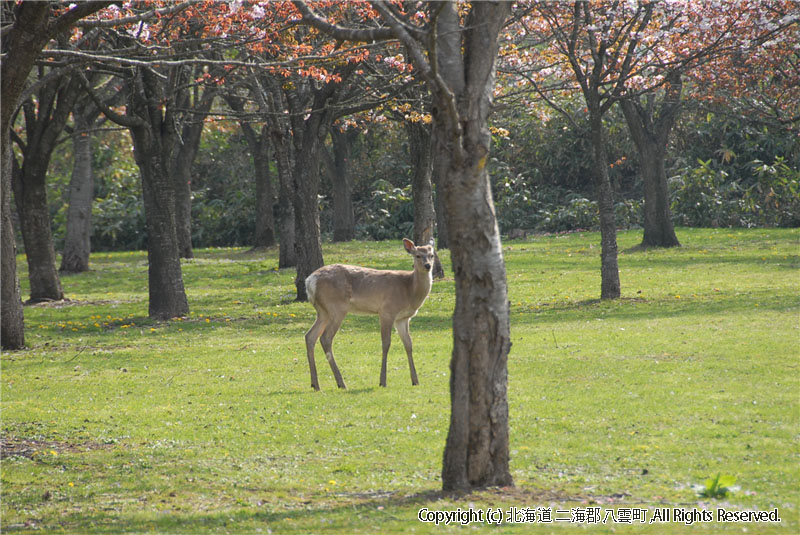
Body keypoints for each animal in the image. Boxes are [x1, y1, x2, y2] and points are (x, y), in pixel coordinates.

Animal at [304, 238, 434, 390]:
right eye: (418, 255)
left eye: (432, 255)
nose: (428, 265)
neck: (409, 290)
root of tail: (310, 281)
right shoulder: (386, 311)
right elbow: (386, 343)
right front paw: (382, 381)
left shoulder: (402, 318)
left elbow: (408, 344)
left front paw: (415, 380)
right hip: (336, 307)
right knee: (325, 338)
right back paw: (341, 383)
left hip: (323, 311)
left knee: (310, 336)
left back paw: (315, 384)